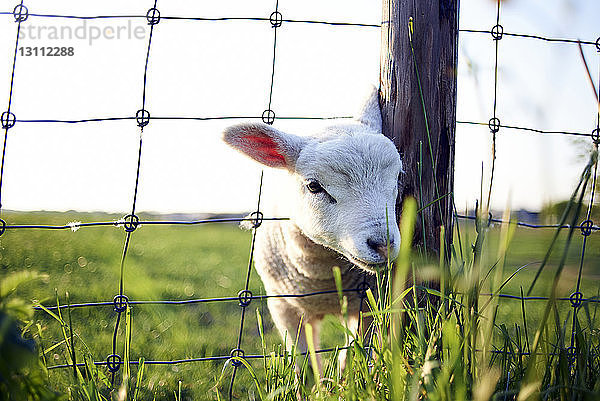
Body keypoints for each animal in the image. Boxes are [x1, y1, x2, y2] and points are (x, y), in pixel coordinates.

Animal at [221, 89, 404, 368]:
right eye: (314, 186)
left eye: (398, 176)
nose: (383, 244)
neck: (323, 277)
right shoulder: (284, 307)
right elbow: (304, 363)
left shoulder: (367, 307)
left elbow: (353, 357)